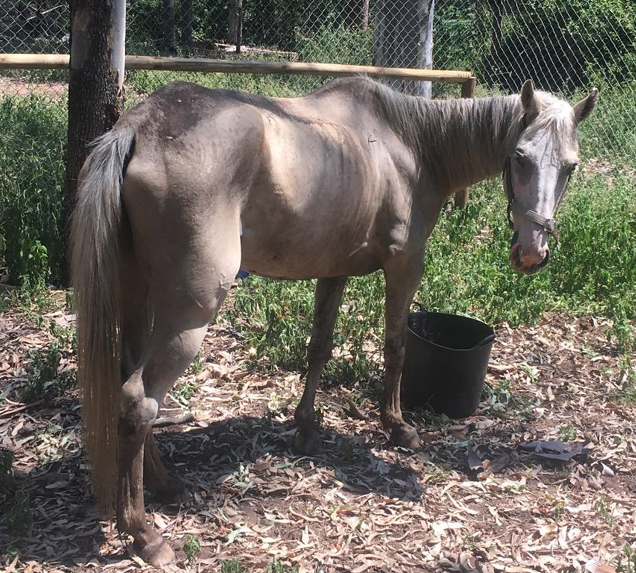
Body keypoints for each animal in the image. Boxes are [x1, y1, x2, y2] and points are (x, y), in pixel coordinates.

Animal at [72, 76, 600, 564]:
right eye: (520, 157)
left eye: (570, 166)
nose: (532, 252)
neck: (410, 144)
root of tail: (141, 127)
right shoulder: (405, 266)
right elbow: (395, 347)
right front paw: (397, 427)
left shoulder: (334, 271)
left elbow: (319, 347)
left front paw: (305, 429)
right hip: (189, 314)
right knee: (140, 401)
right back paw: (144, 534)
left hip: (138, 295)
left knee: (131, 387)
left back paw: (165, 484)